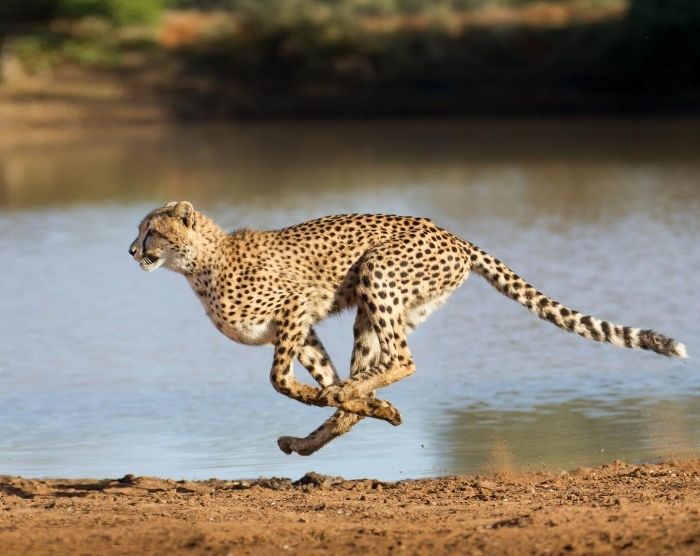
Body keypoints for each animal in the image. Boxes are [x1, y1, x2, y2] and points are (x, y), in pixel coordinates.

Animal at [129, 204, 688, 456]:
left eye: (152, 231)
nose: (132, 250)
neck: (198, 265)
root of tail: (451, 233)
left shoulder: (296, 308)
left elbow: (280, 380)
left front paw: (332, 397)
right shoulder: (302, 326)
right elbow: (320, 378)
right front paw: (356, 405)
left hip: (377, 273)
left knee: (403, 360)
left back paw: (351, 399)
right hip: (381, 308)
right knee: (381, 364)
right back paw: (331, 426)